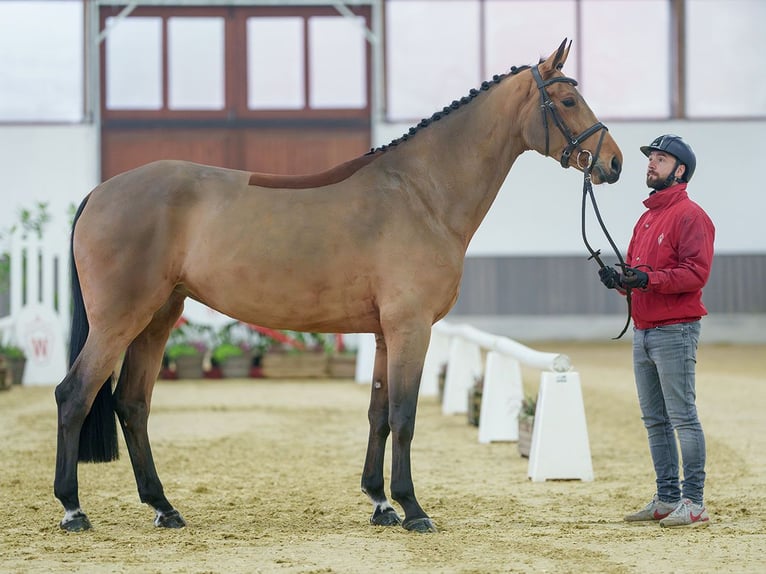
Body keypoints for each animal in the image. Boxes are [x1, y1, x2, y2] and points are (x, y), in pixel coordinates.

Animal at [54, 39, 620, 536]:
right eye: (568, 100)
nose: (613, 162)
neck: (421, 192)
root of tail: (100, 192)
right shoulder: (410, 327)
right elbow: (404, 415)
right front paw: (413, 509)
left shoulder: (386, 333)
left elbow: (378, 414)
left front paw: (380, 503)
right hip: (119, 320)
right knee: (75, 394)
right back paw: (73, 510)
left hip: (158, 318)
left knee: (132, 404)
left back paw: (163, 507)